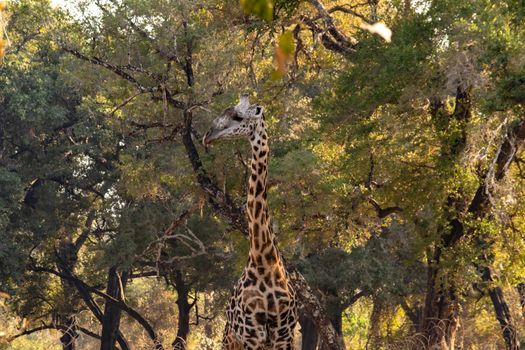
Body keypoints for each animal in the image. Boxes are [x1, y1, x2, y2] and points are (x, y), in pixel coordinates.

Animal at [203, 93, 296, 350]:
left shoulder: (283, 336)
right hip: (230, 339)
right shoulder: (252, 336)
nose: (207, 136)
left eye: (238, 116)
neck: (264, 262)